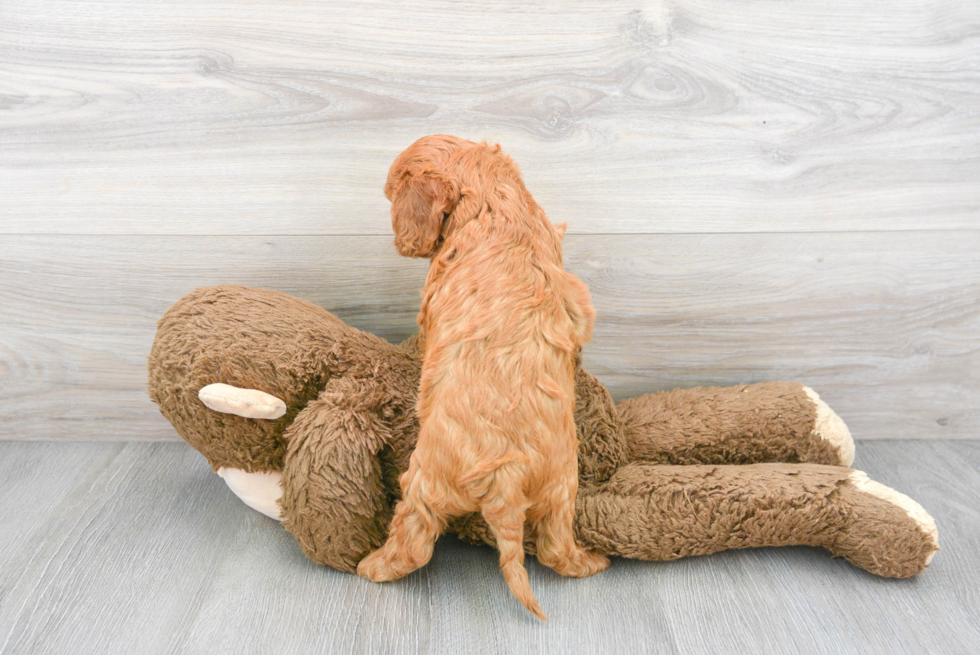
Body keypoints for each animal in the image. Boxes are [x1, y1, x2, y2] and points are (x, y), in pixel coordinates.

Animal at [356, 135, 608, 620]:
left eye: (392, 192)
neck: (497, 202)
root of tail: (505, 478)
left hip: (423, 481)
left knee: (415, 540)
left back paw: (375, 566)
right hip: (562, 486)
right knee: (555, 546)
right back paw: (590, 562)